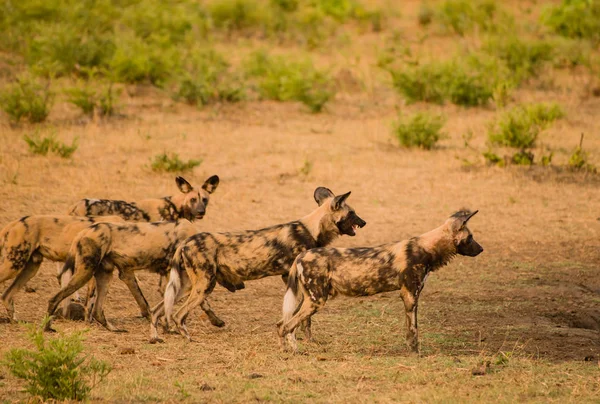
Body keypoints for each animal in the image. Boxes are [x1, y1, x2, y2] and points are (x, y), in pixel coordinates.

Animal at [45, 221, 226, 332]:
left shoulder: (130, 273)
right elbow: (200, 301)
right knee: (55, 298)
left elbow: (153, 304)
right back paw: (47, 328)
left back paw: (114, 329)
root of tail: (84, 230)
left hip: (105, 275)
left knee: (96, 310)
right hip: (85, 273)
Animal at [149, 185, 366, 340]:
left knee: (158, 310)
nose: (364, 222)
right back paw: (187, 338)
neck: (312, 229)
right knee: (178, 315)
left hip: (186, 286)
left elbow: (303, 318)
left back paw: (156, 337)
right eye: (352, 213)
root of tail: (186, 242)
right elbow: (303, 316)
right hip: (204, 285)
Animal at [278, 211, 482, 354]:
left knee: (283, 323)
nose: (481, 249)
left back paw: (287, 349)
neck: (428, 248)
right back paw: (292, 352)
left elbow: (409, 330)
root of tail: (301, 256)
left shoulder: (409, 297)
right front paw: (416, 354)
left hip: (308, 300)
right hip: (316, 301)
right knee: (286, 326)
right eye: (470, 238)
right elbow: (414, 331)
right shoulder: (410, 295)